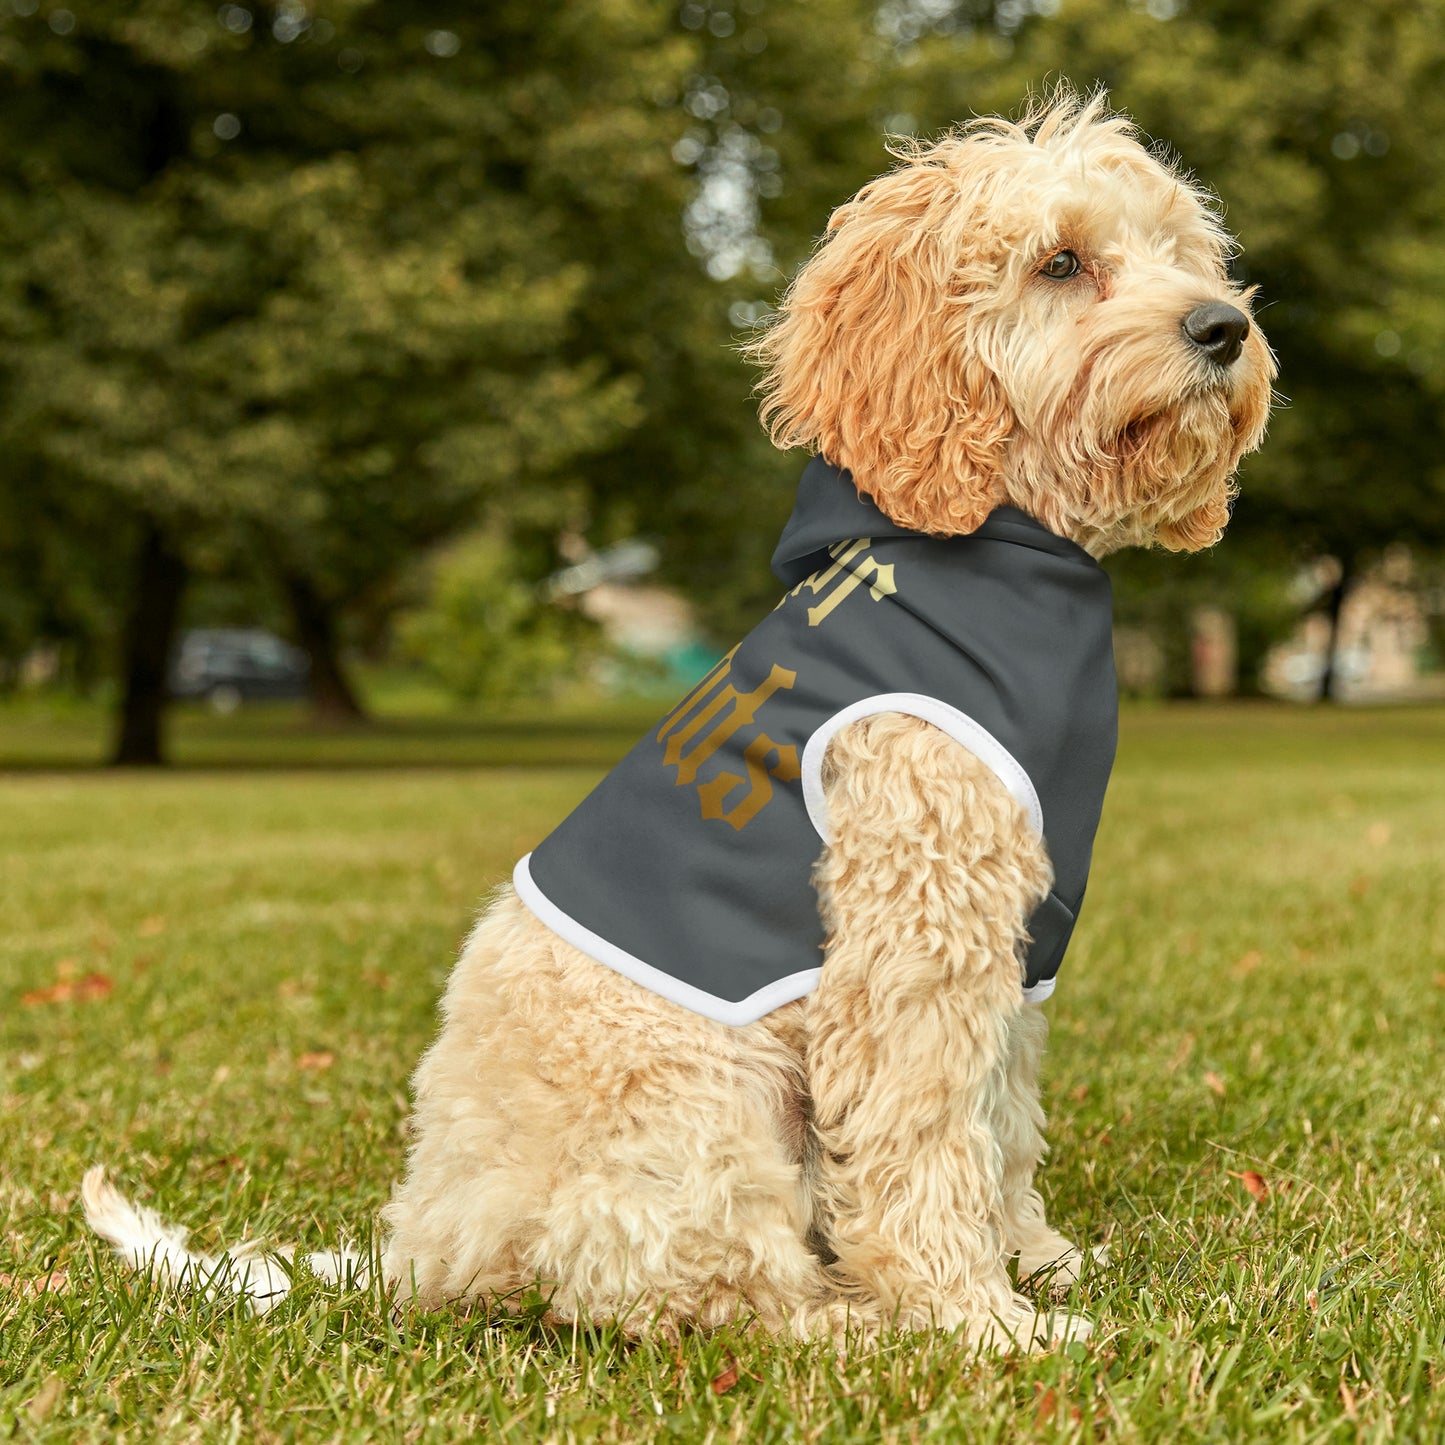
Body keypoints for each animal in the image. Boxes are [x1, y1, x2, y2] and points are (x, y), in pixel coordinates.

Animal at [84, 93, 1271, 1352]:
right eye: (1059, 262)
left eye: (1180, 252)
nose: (1222, 327)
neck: (997, 545)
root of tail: (424, 1245)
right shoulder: (913, 937)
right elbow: (923, 1137)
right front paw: (976, 1318)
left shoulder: (1014, 943)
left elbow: (999, 1120)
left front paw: (1034, 1260)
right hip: (704, 1102)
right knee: (700, 1290)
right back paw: (852, 1322)